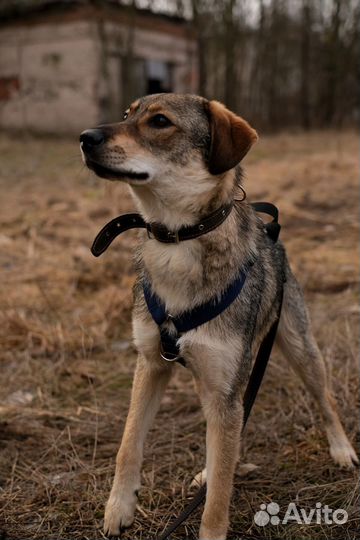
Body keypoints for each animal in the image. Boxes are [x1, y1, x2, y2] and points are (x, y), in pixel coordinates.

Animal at [80, 94, 358, 540]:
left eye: (160, 122)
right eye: (127, 115)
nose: (85, 138)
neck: (178, 241)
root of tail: (271, 233)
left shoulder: (226, 391)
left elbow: (218, 499)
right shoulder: (151, 364)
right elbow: (128, 445)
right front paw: (118, 508)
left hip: (298, 350)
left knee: (325, 400)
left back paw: (342, 449)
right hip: (209, 381)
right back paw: (208, 471)